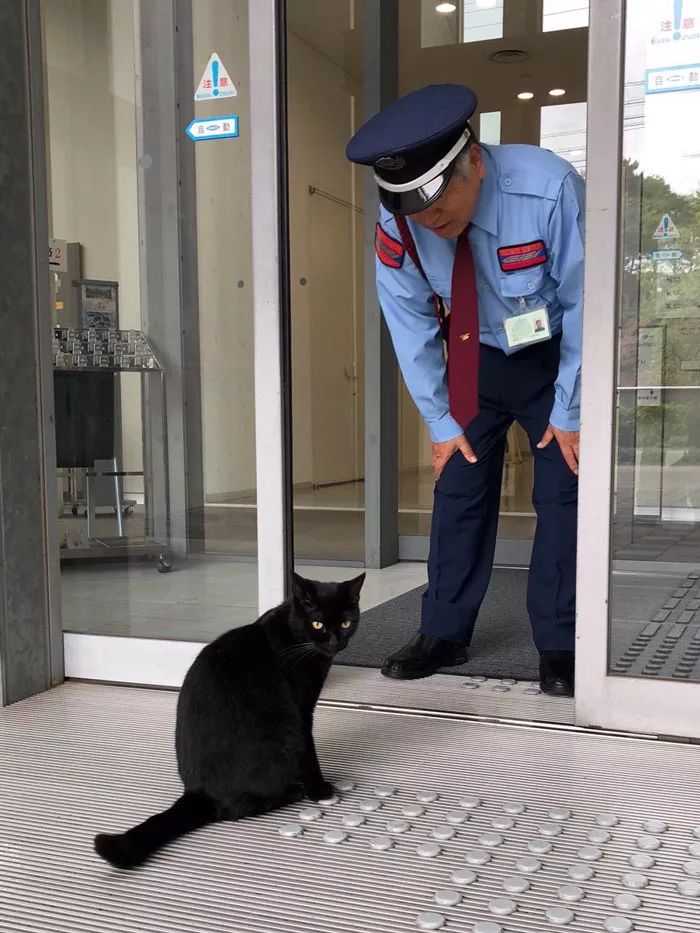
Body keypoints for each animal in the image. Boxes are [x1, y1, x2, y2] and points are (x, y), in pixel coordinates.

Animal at [93, 572, 364, 872]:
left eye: (345, 623)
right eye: (317, 624)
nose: (335, 642)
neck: (294, 636)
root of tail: (197, 792)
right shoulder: (302, 711)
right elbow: (310, 755)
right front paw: (319, 789)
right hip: (285, 735)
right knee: (232, 810)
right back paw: (292, 792)